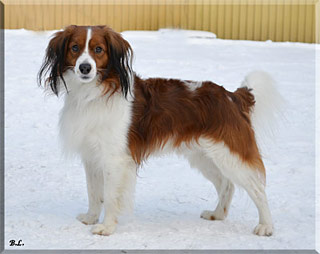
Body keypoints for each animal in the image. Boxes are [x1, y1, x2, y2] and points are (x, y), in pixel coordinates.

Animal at [38, 24, 282, 237]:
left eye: (98, 50)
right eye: (75, 48)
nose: (85, 68)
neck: (92, 94)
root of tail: (231, 96)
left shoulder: (114, 159)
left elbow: (109, 195)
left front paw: (106, 228)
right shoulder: (91, 156)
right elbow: (93, 192)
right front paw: (91, 217)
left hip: (230, 155)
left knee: (257, 189)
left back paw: (266, 226)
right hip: (204, 157)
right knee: (226, 184)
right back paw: (217, 214)